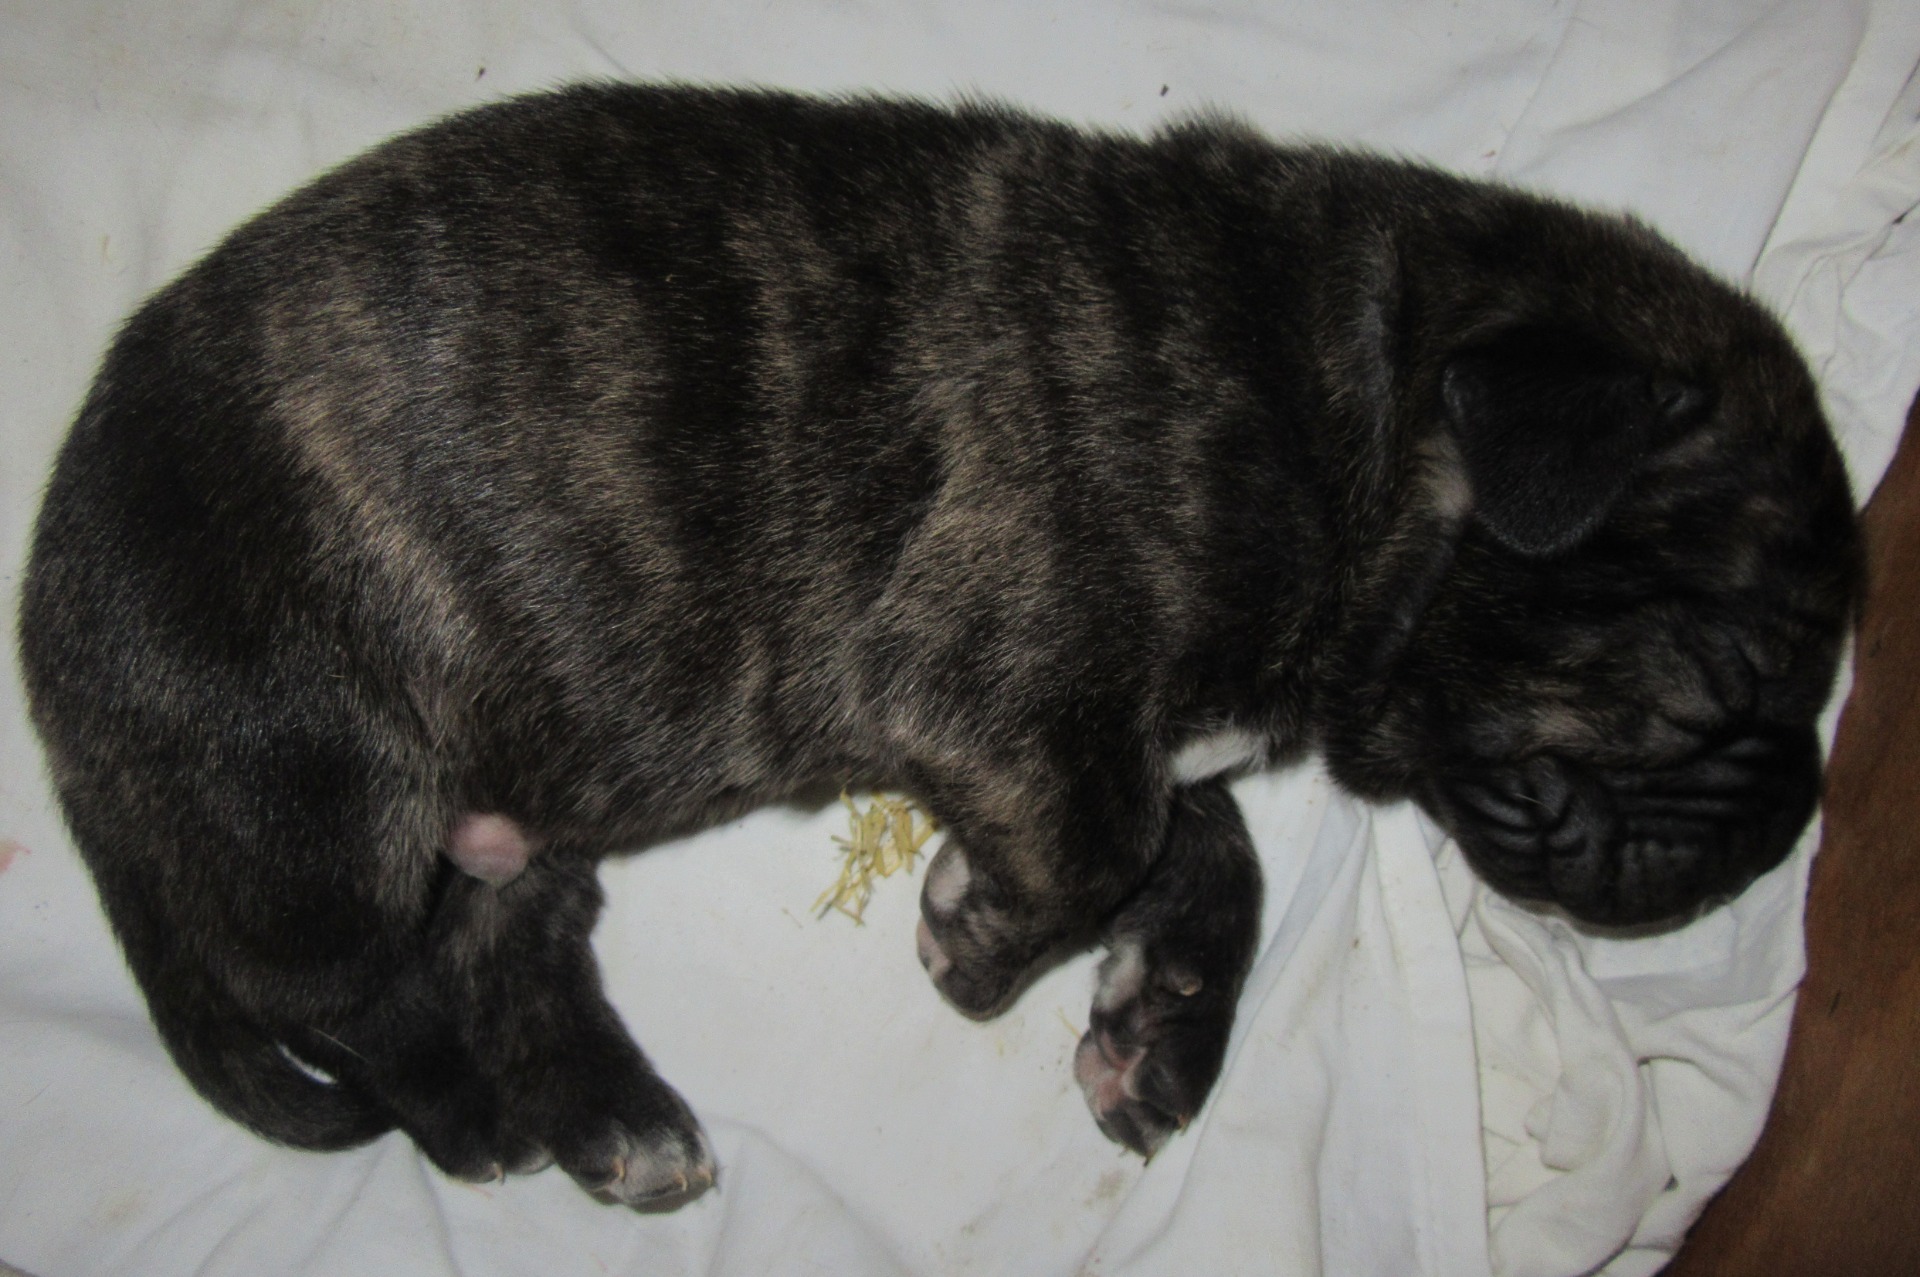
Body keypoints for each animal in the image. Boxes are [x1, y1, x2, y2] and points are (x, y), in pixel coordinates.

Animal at [17, 84, 1859, 1206]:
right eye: (1737, 675)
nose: (1791, 823)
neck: (1374, 398)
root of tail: (50, 665)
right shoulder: (1011, 674)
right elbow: (1113, 836)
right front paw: (985, 945)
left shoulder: (1114, 721)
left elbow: (1210, 842)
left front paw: (1159, 1020)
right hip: (316, 783)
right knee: (361, 992)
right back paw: (492, 1118)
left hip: (506, 811)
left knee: (499, 942)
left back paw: (613, 1118)